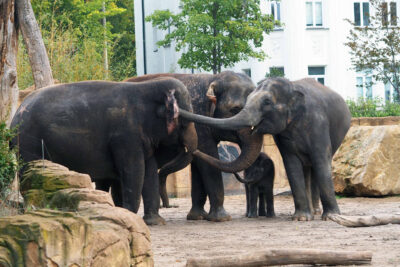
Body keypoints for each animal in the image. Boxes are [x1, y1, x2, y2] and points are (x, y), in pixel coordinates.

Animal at [9, 79, 197, 226]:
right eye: (184, 122)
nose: (170, 206)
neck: (148, 87)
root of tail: (15, 115)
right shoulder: (125, 136)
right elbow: (134, 171)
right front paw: (128, 215)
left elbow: (149, 172)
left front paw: (155, 222)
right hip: (28, 142)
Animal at [124, 71, 262, 222]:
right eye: (235, 109)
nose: (168, 205)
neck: (212, 79)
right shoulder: (198, 123)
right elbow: (208, 159)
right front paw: (222, 218)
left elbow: (199, 166)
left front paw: (198, 216)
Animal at [180, 77, 352, 222]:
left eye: (267, 102)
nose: (192, 150)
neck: (291, 86)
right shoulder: (283, 136)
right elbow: (291, 165)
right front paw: (301, 218)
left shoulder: (318, 124)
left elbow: (321, 161)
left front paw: (330, 217)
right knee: (306, 169)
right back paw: (311, 213)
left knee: (316, 166)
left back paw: (317, 212)